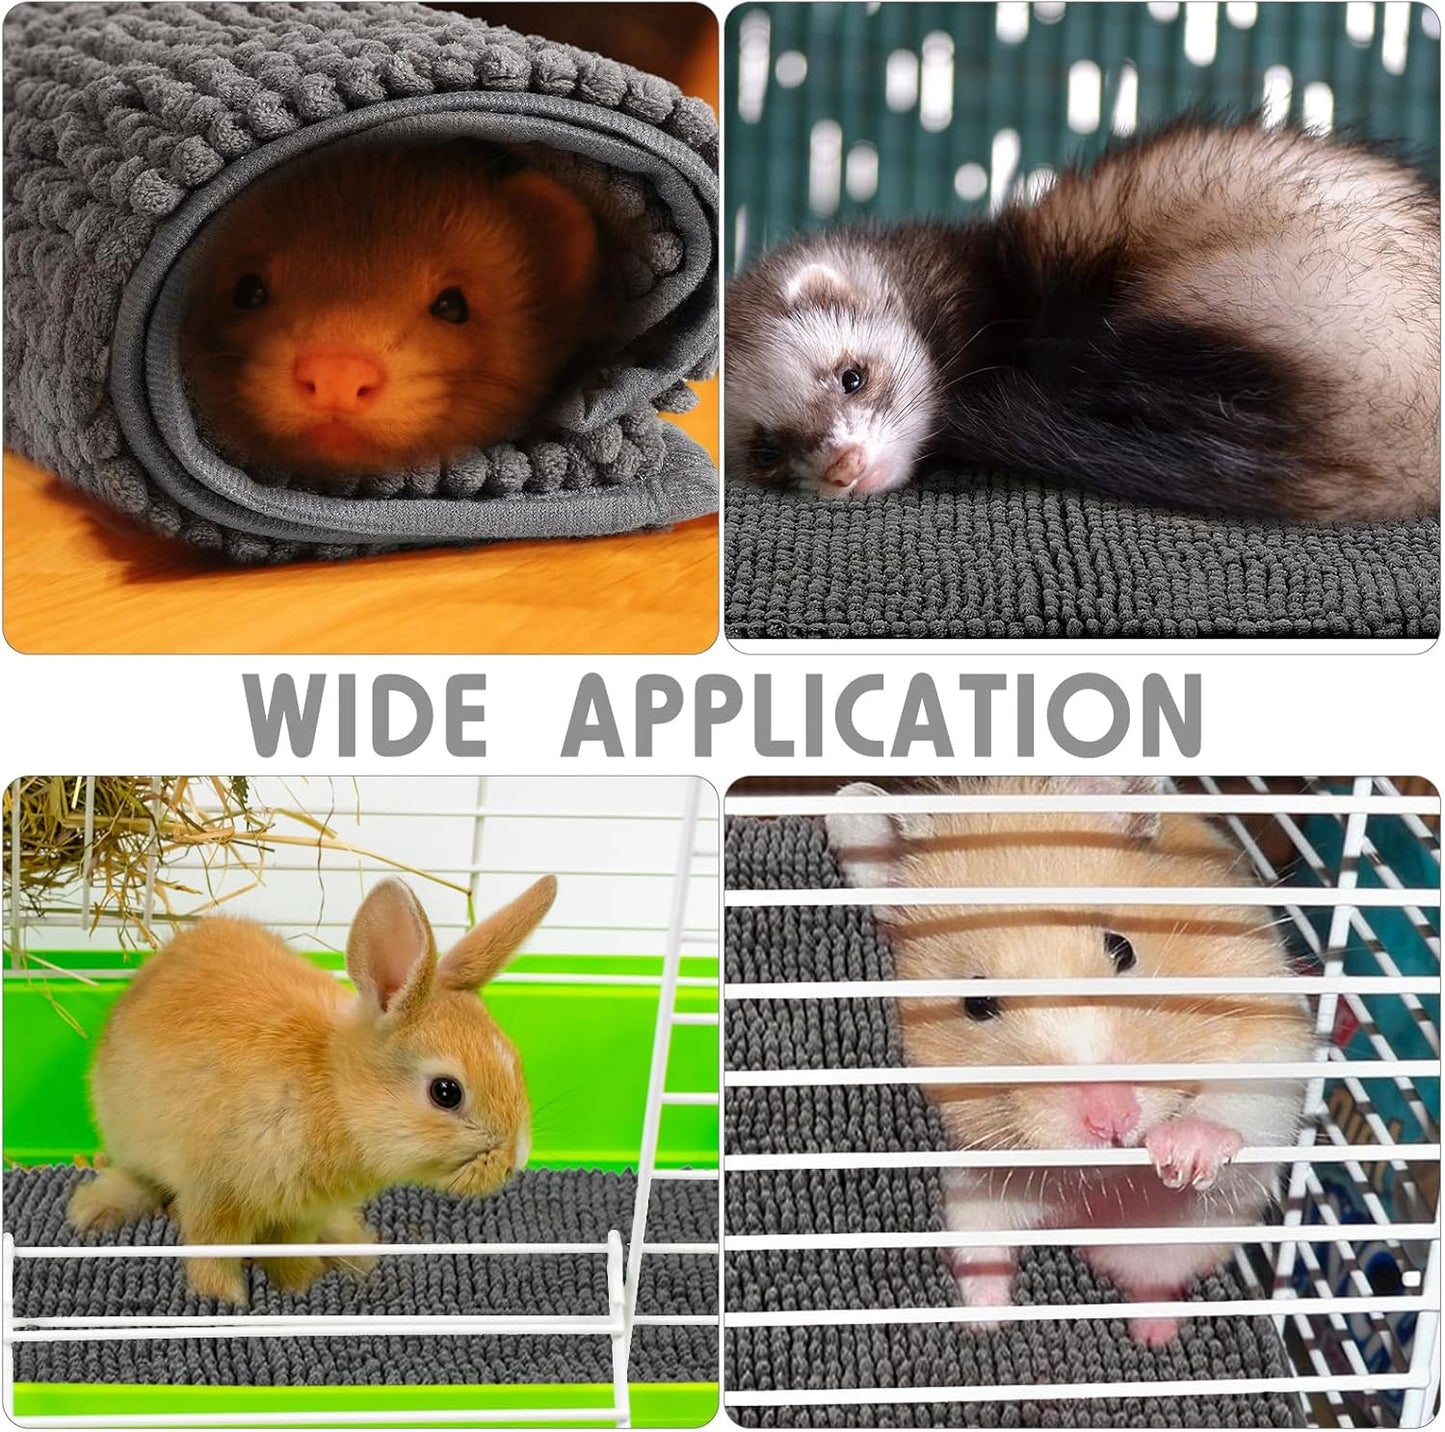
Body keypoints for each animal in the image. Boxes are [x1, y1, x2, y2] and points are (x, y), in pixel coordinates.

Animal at [66, 875, 555, 1305]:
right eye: (447, 1092)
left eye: (515, 1060)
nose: (515, 1162)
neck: (336, 1093)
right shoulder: (214, 1197)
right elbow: (213, 1252)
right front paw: (229, 1301)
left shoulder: (300, 1216)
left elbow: (291, 1252)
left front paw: (301, 1287)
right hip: (129, 1135)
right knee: (137, 1177)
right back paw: (93, 1213)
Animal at [825, 775, 1315, 1345]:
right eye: (976, 1004)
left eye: (1122, 949)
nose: (1112, 1120)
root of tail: (1082, 1224)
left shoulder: (1268, 1023)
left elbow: (1240, 1102)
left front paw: (1184, 1154)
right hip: (985, 1205)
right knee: (984, 1250)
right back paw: (986, 1319)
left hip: (1181, 1235)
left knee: (1156, 1280)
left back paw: (1154, 1334)